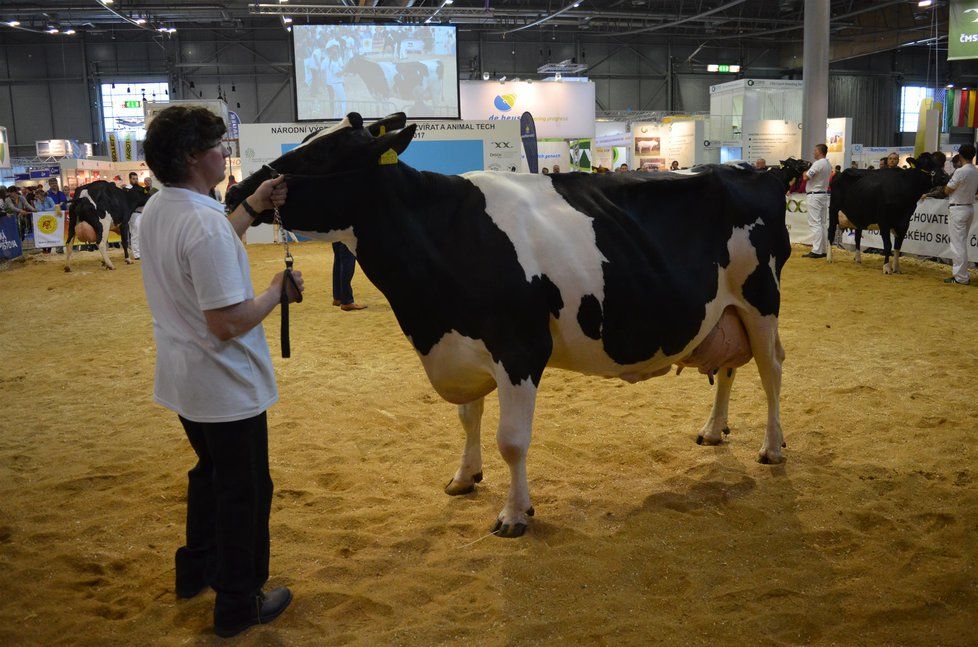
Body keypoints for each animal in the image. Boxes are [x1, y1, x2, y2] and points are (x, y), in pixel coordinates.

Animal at [229, 114, 792, 540]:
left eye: (320, 157)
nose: (240, 190)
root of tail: (758, 170)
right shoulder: (463, 344)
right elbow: (467, 419)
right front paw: (463, 477)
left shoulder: (519, 349)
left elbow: (511, 440)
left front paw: (515, 514)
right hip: (725, 311)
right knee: (730, 368)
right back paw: (713, 430)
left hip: (761, 300)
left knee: (771, 370)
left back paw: (772, 447)